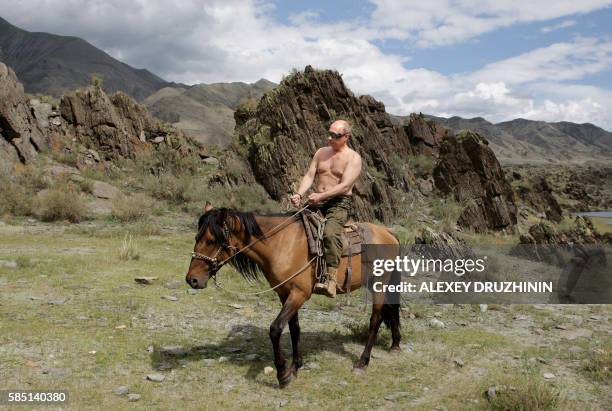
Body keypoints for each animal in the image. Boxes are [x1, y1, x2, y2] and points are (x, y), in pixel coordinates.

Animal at [184, 203, 400, 390]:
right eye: (196, 237)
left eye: (211, 240)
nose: (192, 280)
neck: (280, 245)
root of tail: (389, 233)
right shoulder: (285, 293)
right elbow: (294, 328)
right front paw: (295, 367)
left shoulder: (299, 294)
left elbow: (275, 329)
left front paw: (282, 373)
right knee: (391, 310)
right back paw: (395, 344)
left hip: (380, 283)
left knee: (375, 319)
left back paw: (362, 362)